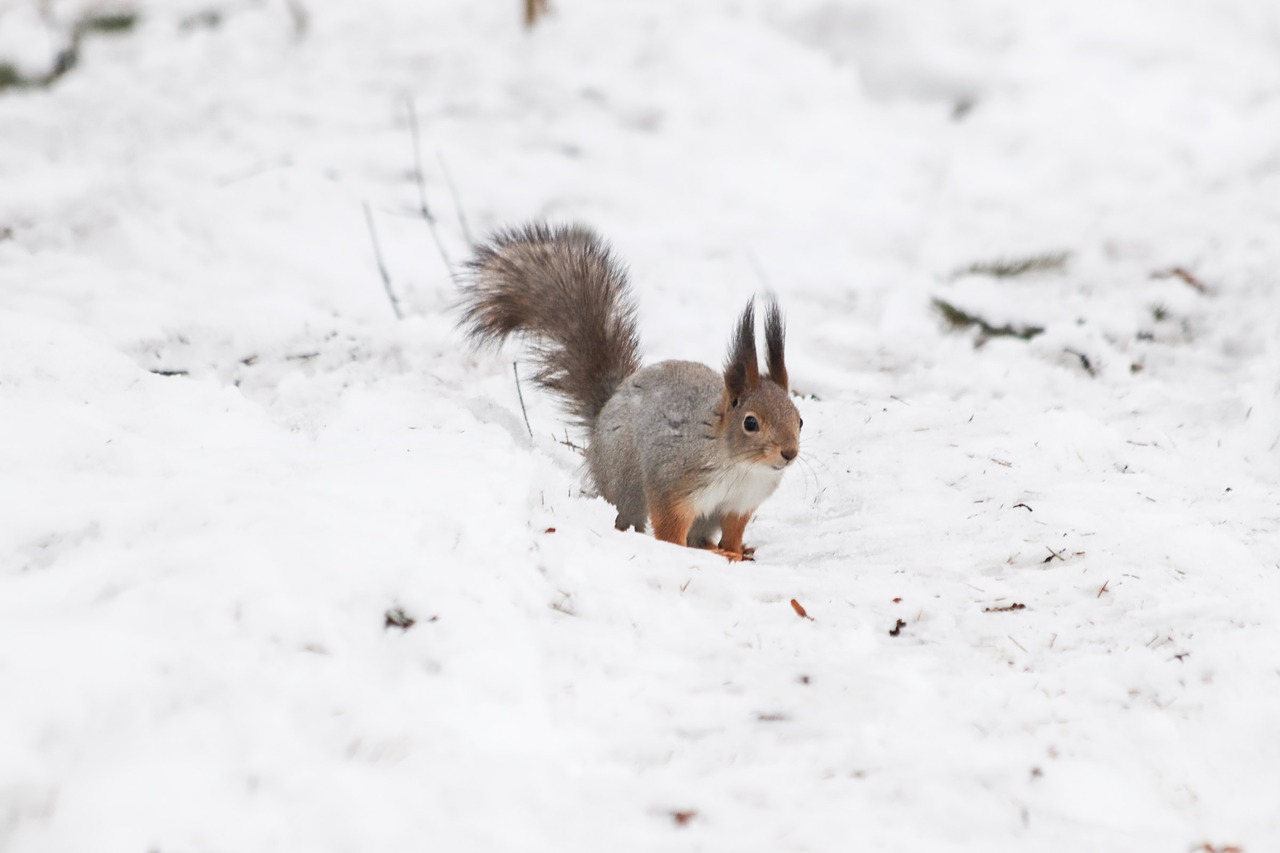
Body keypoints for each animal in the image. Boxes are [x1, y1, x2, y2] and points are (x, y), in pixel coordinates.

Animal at [460, 222, 798, 560]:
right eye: (750, 422)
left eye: (800, 419)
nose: (790, 453)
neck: (742, 466)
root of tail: (603, 414)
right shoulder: (674, 482)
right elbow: (670, 524)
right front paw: (678, 551)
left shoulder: (738, 505)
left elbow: (733, 532)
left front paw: (735, 552)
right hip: (625, 481)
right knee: (628, 516)